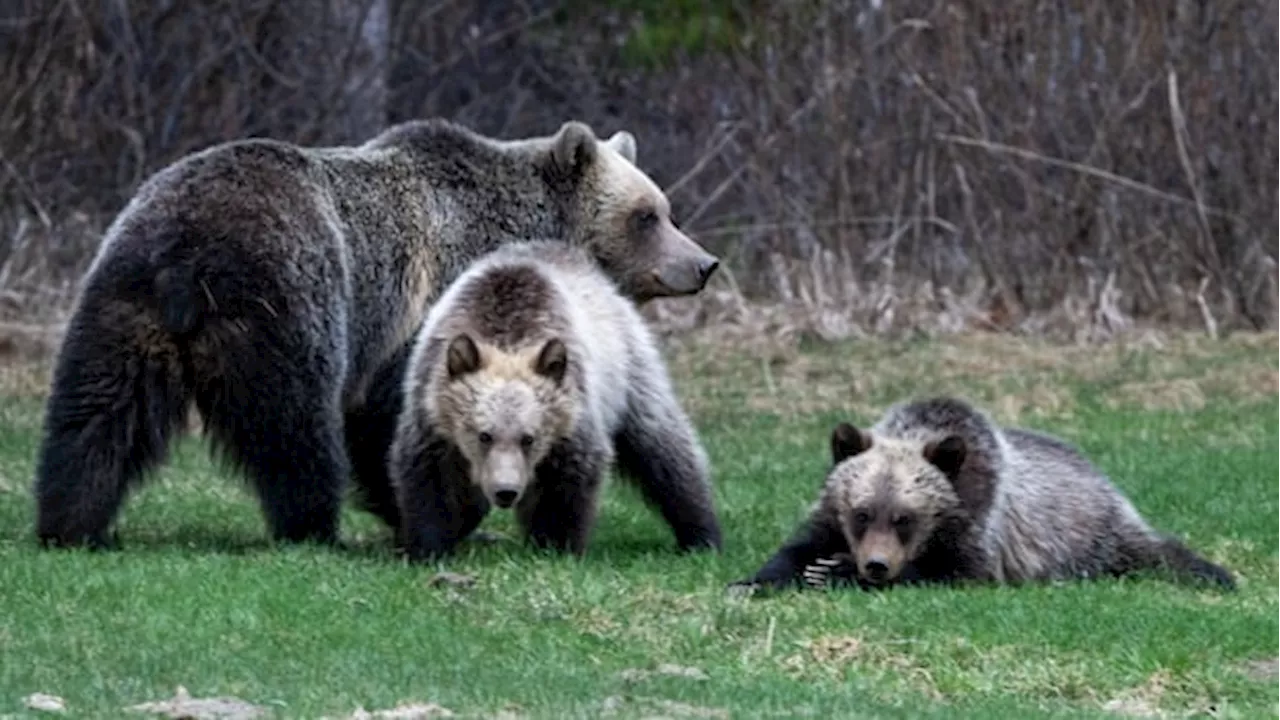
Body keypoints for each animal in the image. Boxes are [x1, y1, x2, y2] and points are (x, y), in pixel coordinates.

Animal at [387, 239, 721, 562]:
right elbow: (429, 479)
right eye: (484, 435)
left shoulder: (573, 415)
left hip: (630, 369)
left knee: (664, 447)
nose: (506, 491)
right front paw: (429, 547)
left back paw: (702, 534)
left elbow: (569, 482)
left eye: (528, 438)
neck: (506, 336)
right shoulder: (431, 413)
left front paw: (554, 546)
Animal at [729, 396, 1236, 593]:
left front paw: (833, 571)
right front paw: (755, 581)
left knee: (1158, 553)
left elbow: (957, 572)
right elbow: (797, 546)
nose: (875, 565)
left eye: (905, 517)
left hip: (1094, 537)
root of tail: (1105, 481)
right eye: (862, 512)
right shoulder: (829, 511)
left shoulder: (979, 524)